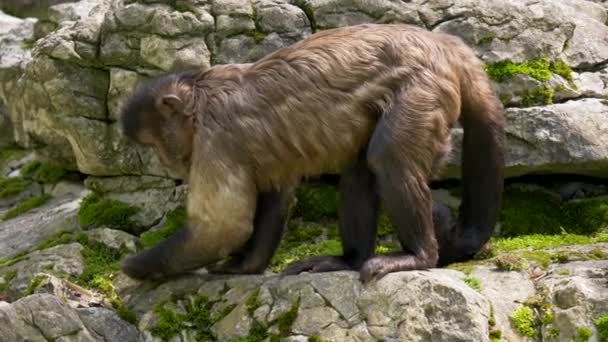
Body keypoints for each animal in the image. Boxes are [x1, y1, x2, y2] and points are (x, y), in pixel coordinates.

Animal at [119, 22, 504, 282]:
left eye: (155, 144)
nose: (164, 160)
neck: (200, 100)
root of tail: (442, 43)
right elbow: (274, 194)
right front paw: (244, 266)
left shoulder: (215, 139)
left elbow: (222, 227)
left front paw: (136, 268)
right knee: (360, 169)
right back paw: (350, 260)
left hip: (422, 88)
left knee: (388, 159)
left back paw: (418, 255)